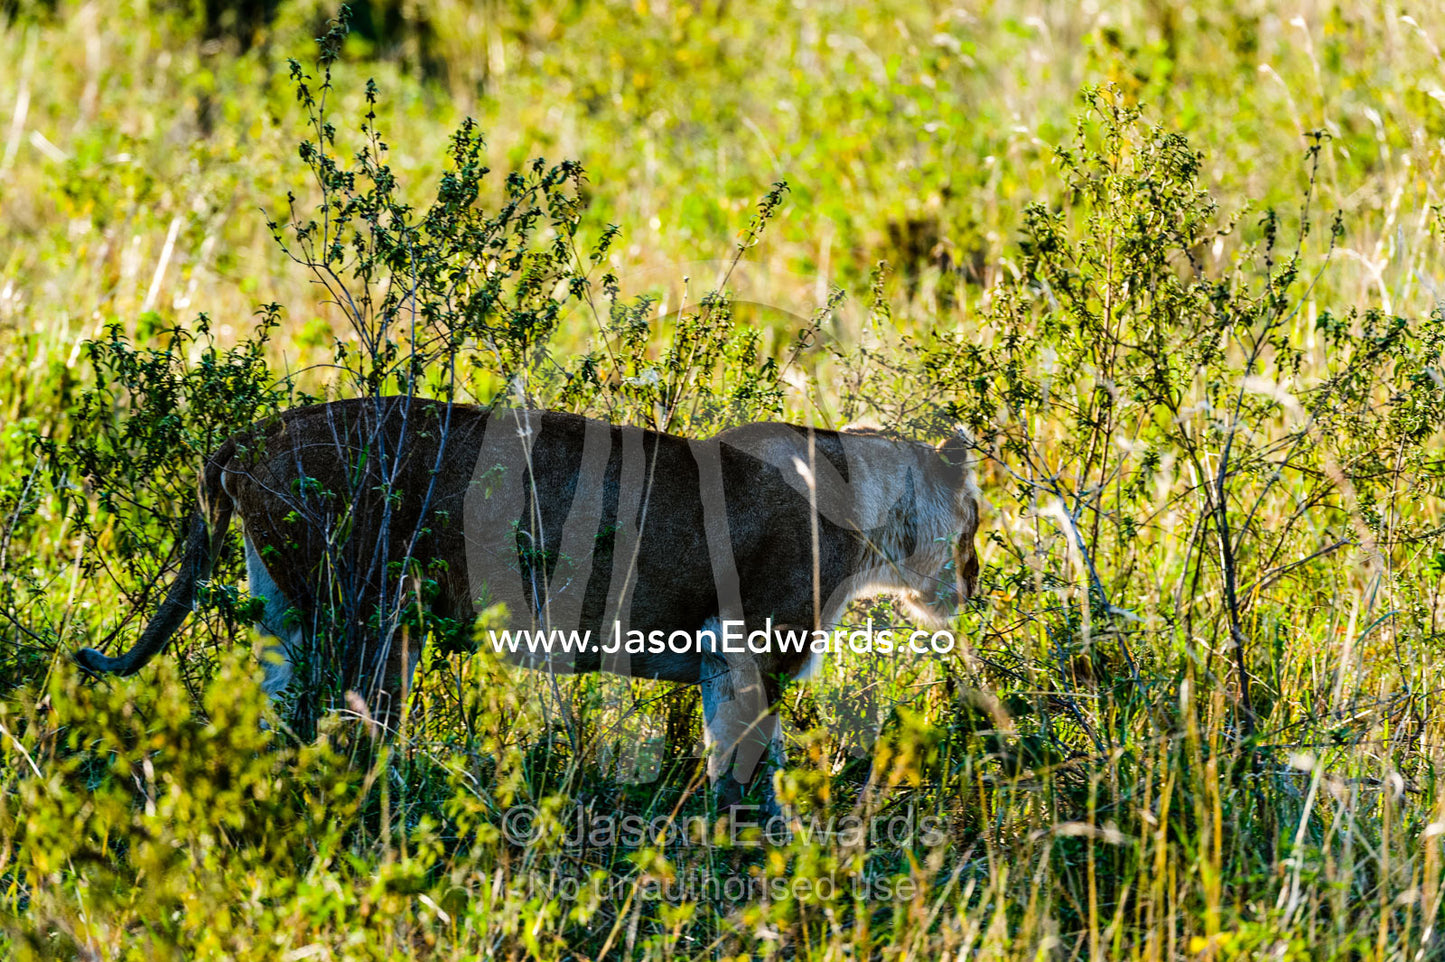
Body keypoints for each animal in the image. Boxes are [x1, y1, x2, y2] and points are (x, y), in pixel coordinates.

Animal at [75, 397, 982, 812]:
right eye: (976, 515)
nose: (974, 579)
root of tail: (256, 430)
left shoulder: (722, 659)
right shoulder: (752, 648)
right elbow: (752, 766)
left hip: (289, 615)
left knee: (277, 718)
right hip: (370, 615)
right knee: (352, 730)